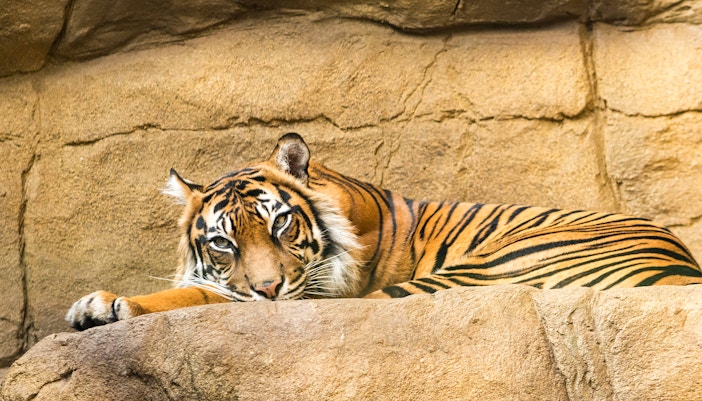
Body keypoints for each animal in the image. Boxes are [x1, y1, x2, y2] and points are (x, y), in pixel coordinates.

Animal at [66, 132, 702, 330]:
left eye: (280, 223)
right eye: (223, 242)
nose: (269, 289)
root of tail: (682, 266)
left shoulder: (317, 293)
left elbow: (204, 296)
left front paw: (107, 304)